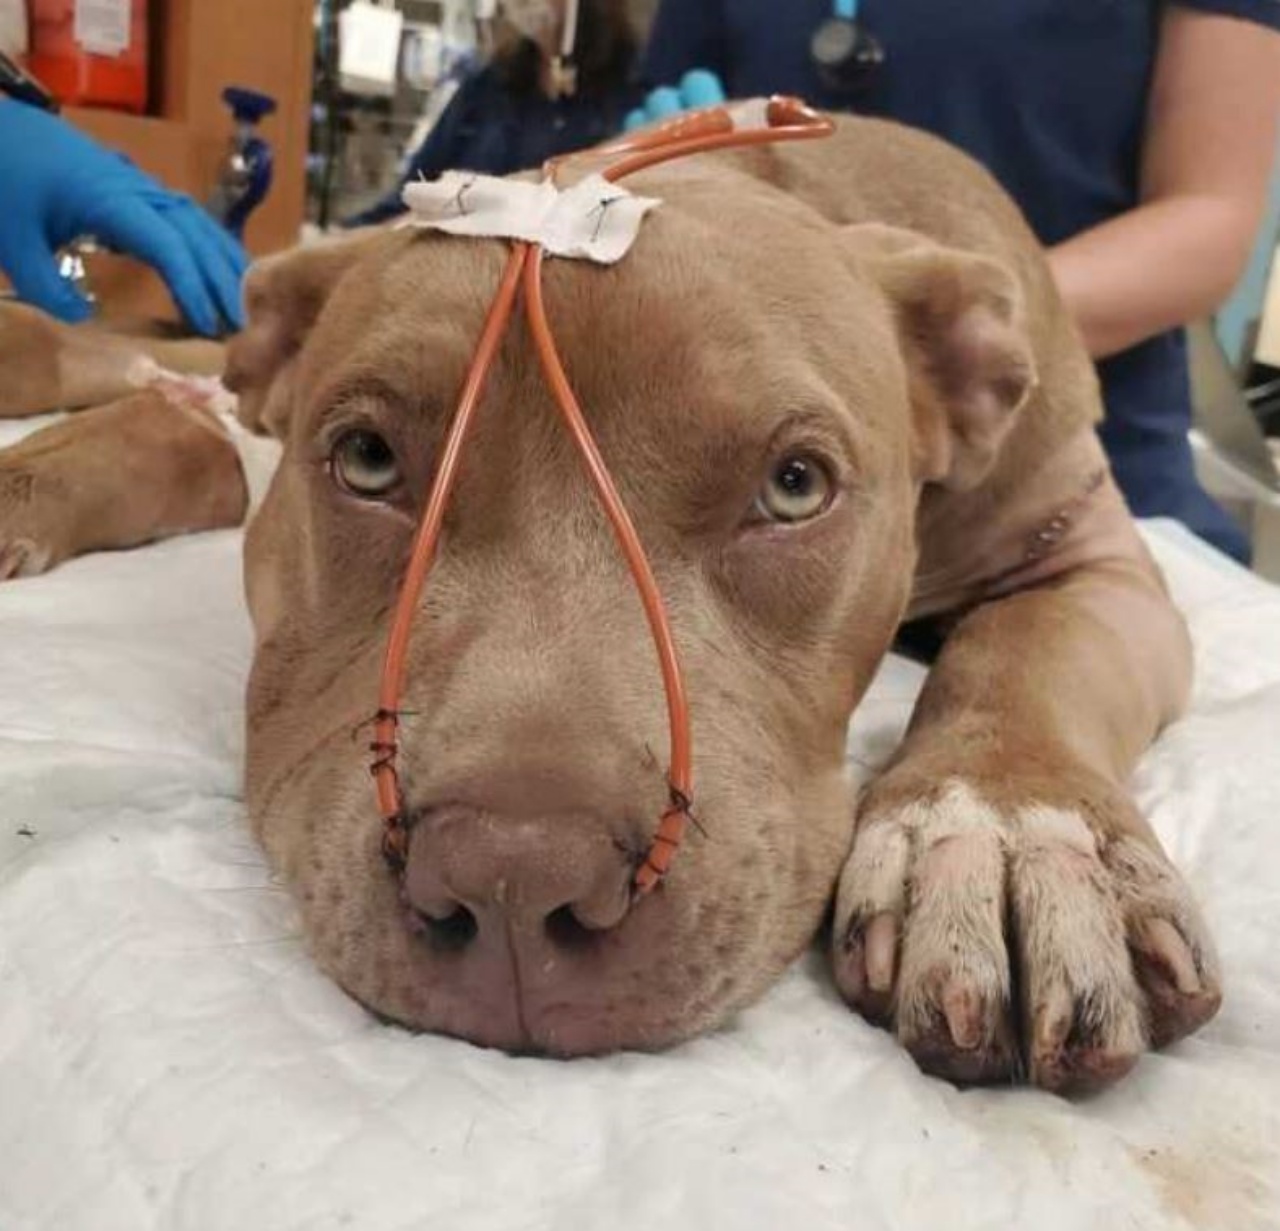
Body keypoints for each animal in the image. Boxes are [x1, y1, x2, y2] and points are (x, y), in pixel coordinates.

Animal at [0, 117, 1218, 1095]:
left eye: (795, 485)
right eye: (367, 459)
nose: (512, 877)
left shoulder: (1095, 557)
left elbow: (1026, 643)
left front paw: (1004, 834)